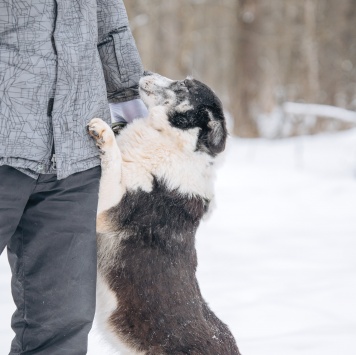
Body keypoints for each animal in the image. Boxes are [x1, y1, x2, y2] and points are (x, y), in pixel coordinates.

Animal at [87, 72, 241, 355]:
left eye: (184, 86)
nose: (144, 72)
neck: (170, 142)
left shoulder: (108, 206)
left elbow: (113, 159)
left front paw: (104, 133)